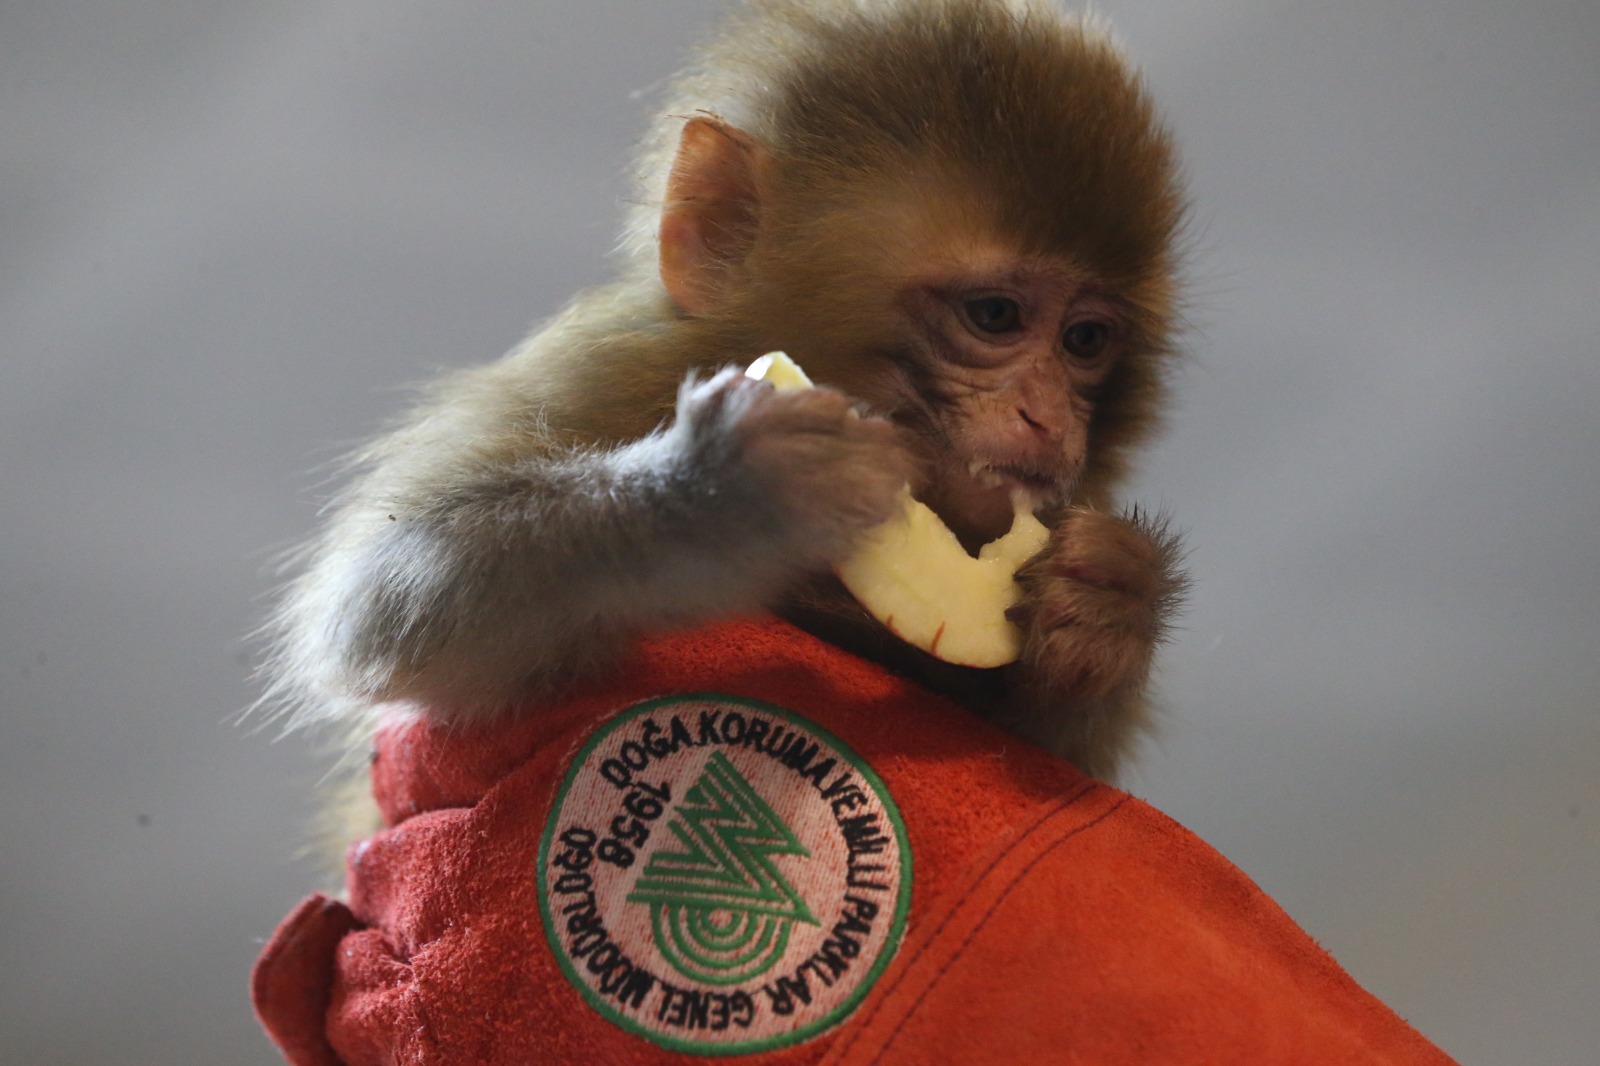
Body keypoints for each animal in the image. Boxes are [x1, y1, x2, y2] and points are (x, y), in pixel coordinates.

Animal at [262, 0, 1190, 781]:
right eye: (995, 316)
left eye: (1085, 342)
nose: (1047, 417)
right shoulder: (591, 375)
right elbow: (384, 596)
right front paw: (720, 495)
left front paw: (1112, 602)